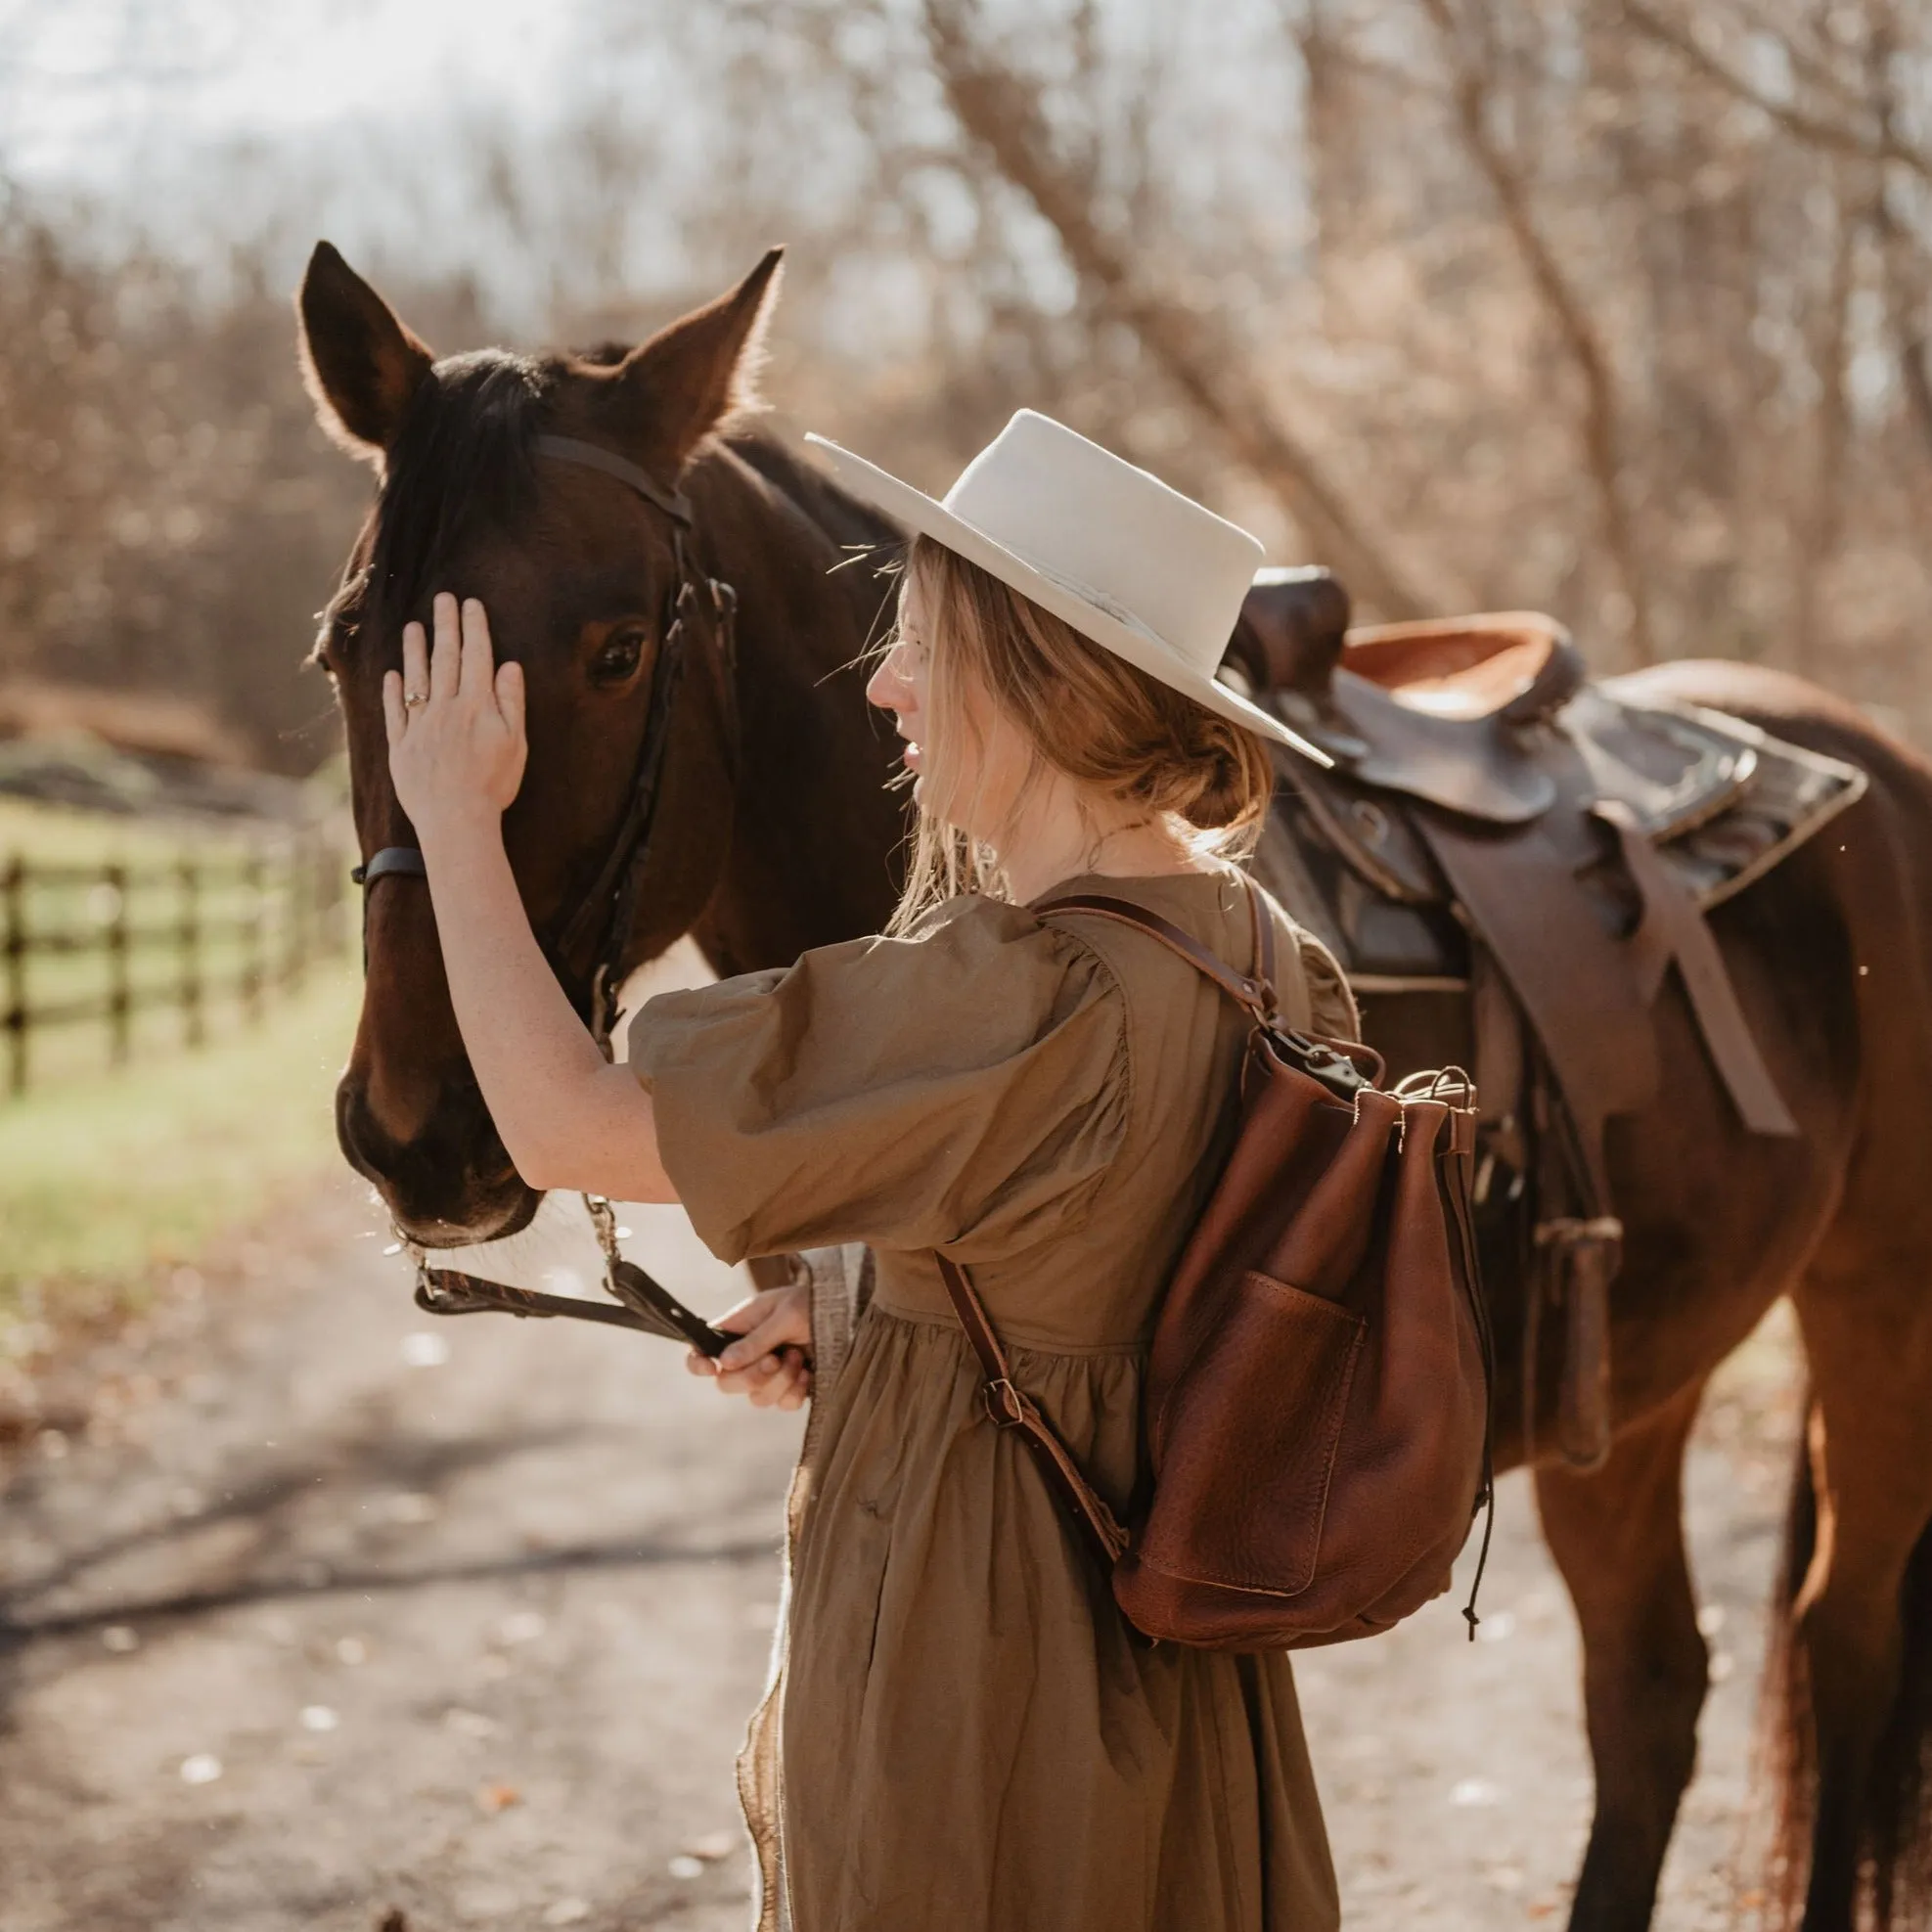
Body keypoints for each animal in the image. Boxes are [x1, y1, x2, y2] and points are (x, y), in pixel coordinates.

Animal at [297, 245, 1932, 1932]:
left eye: (618, 648)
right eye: (346, 645)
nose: (420, 1135)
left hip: (1878, 1310)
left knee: (1842, 1639)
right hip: (1645, 1372)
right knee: (1650, 1692)